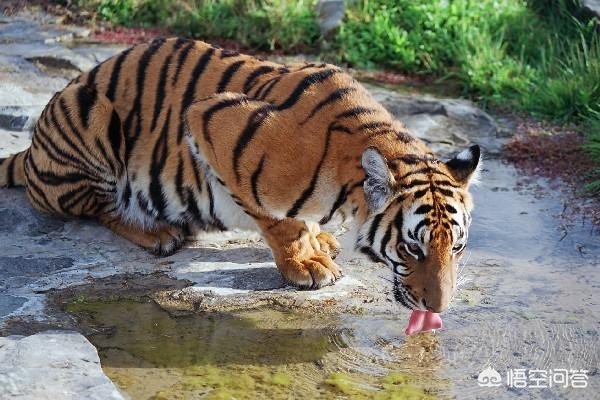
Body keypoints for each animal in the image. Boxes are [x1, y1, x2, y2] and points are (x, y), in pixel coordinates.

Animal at [0, 39, 478, 318]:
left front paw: (319, 240)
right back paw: (157, 231)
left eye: (455, 247)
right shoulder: (211, 121)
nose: (438, 309)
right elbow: (279, 222)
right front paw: (305, 264)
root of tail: (31, 151)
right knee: (99, 207)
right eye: (411, 248)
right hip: (89, 110)